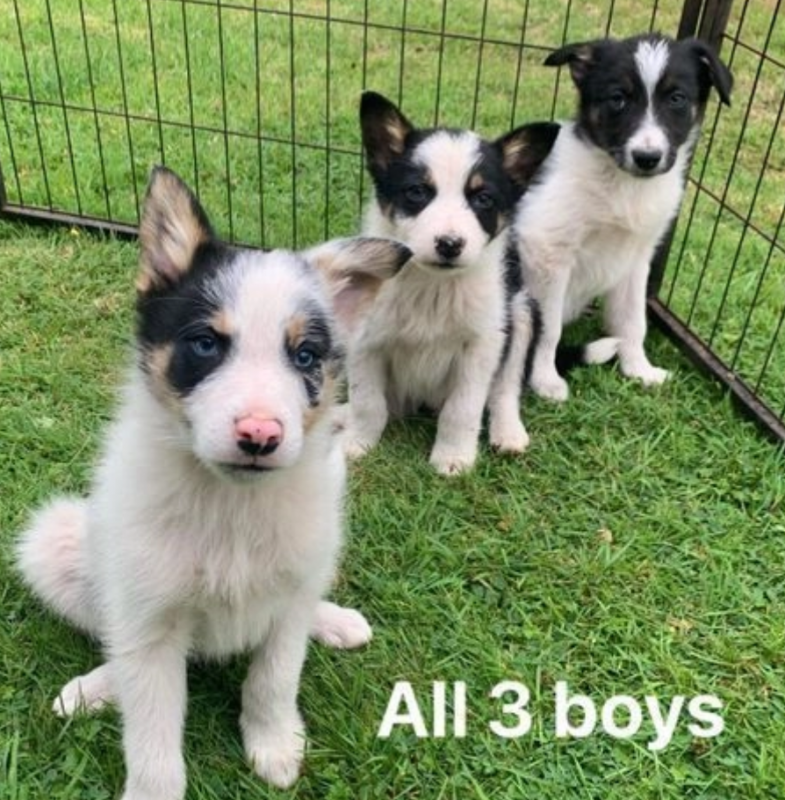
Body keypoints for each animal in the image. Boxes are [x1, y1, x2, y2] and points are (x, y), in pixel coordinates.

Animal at [16, 166, 410, 796]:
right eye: (205, 344)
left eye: (305, 356)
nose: (260, 435)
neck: (231, 503)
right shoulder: (150, 621)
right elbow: (151, 733)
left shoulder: (287, 602)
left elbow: (273, 679)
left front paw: (274, 744)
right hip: (57, 543)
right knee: (116, 643)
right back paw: (97, 686)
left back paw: (333, 620)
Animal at [344, 92, 556, 476]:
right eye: (417, 192)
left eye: (483, 198)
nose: (449, 244)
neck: (432, 287)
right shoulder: (366, 341)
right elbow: (367, 401)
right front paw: (357, 442)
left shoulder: (482, 345)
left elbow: (463, 409)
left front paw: (453, 457)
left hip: (520, 311)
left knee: (505, 389)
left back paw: (508, 433)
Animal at [512, 35, 732, 404]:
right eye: (618, 99)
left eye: (676, 98)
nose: (647, 158)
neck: (624, 185)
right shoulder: (547, 250)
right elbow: (548, 328)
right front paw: (545, 380)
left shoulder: (635, 257)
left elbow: (633, 320)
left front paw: (638, 369)